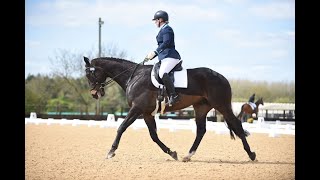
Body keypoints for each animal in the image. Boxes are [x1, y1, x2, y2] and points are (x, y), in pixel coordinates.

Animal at [84, 56, 256, 162]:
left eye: (90, 75)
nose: (94, 93)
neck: (134, 77)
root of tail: (222, 77)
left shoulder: (136, 109)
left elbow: (121, 127)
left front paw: (111, 152)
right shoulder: (146, 113)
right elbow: (153, 135)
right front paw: (172, 153)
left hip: (222, 105)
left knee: (237, 125)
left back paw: (251, 154)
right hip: (201, 108)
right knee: (201, 130)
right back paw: (188, 155)